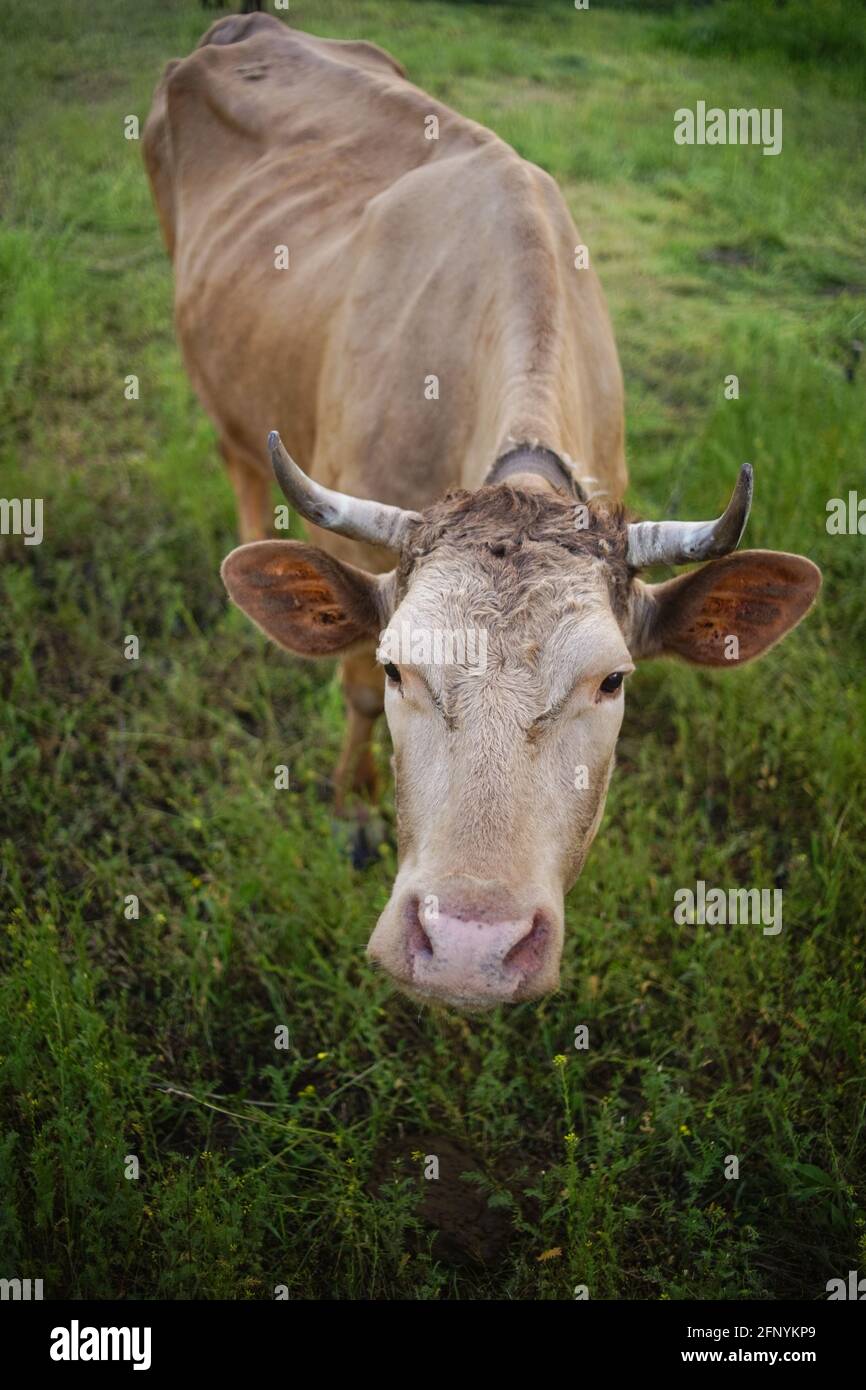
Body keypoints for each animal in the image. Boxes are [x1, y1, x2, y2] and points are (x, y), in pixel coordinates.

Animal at [143, 14, 821, 1010]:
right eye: (398, 669)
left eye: (613, 682)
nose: (470, 946)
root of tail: (249, 21)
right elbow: (347, 691)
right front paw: (350, 809)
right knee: (232, 454)